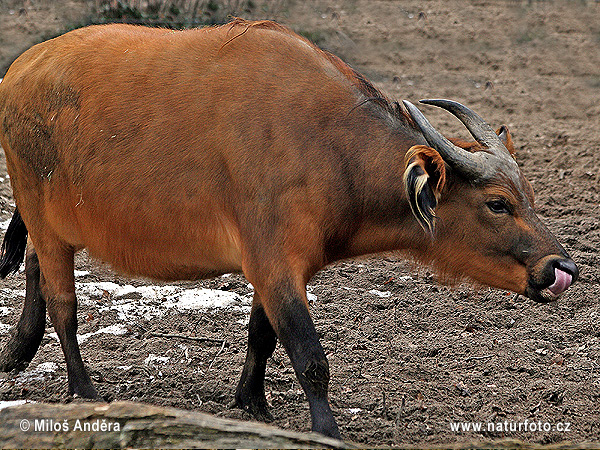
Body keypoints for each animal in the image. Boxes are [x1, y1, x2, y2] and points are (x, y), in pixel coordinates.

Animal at [0, 19, 580, 438]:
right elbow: (309, 356)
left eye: (530, 196)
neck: (330, 147)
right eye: (499, 204)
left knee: (31, 264)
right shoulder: (275, 262)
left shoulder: (274, 266)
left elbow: (262, 334)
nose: (562, 267)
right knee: (63, 304)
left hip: (49, 222)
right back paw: (83, 389)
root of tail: (21, 68)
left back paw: (19, 350)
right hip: (45, 219)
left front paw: (252, 402)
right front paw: (327, 430)